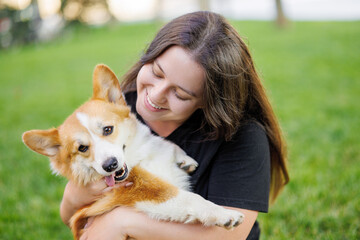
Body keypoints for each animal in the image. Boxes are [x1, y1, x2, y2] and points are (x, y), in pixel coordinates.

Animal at [22, 64, 245, 240]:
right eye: (82, 148)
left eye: (107, 129)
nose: (110, 165)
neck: (140, 158)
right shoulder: (148, 192)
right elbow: (190, 199)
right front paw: (224, 215)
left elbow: (167, 144)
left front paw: (184, 159)